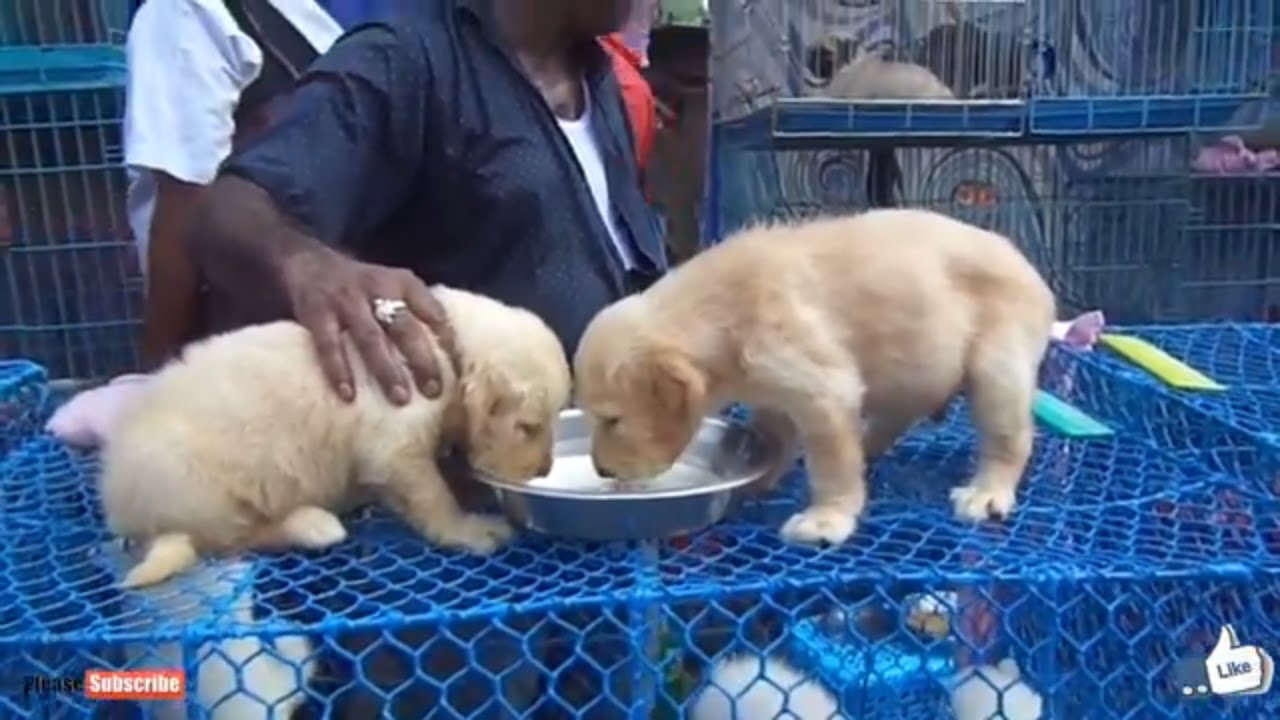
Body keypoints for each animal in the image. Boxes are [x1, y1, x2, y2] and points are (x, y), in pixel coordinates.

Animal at [94, 283, 565, 586]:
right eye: (528, 426)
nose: (543, 471)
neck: (443, 344)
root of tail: (124, 509)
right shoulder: (395, 446)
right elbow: (432, 495)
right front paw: (470, 529)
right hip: (196, 484)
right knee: (233, 538)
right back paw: (312, 524)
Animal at [576, 207, 1054, 543]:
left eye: (612, 419)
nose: (600, 469)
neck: (721, 308)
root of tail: (1035, 273)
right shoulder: (772, 389)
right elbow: (771, 438)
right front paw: (755, 479)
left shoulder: (816, 381)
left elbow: (831, 459)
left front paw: (827, 519)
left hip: (998, 358)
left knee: (1009, 436)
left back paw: (986, 492)